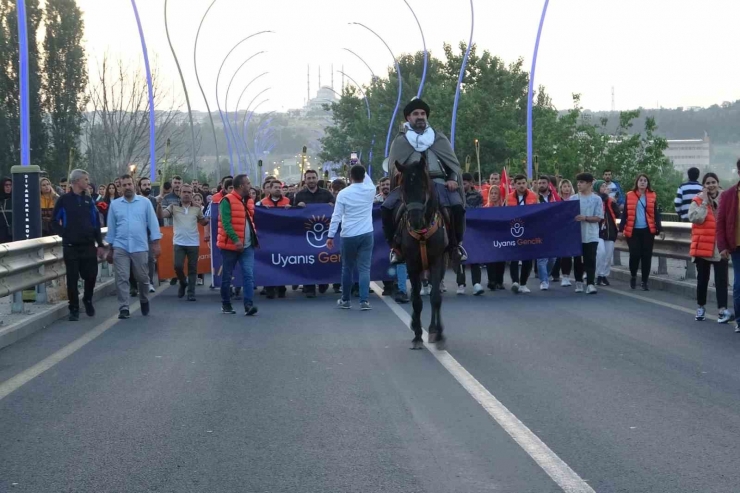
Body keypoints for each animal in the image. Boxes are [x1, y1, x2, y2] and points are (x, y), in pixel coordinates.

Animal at [396, 159, 448, 350]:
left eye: (424, 186)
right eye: (403, 188)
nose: (415, 220)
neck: (423, 233)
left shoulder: (437, 262)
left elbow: (436, 298)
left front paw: (437, 332)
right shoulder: (412, 264)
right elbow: (417, 300)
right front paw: (418, 335)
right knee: (415, 295)